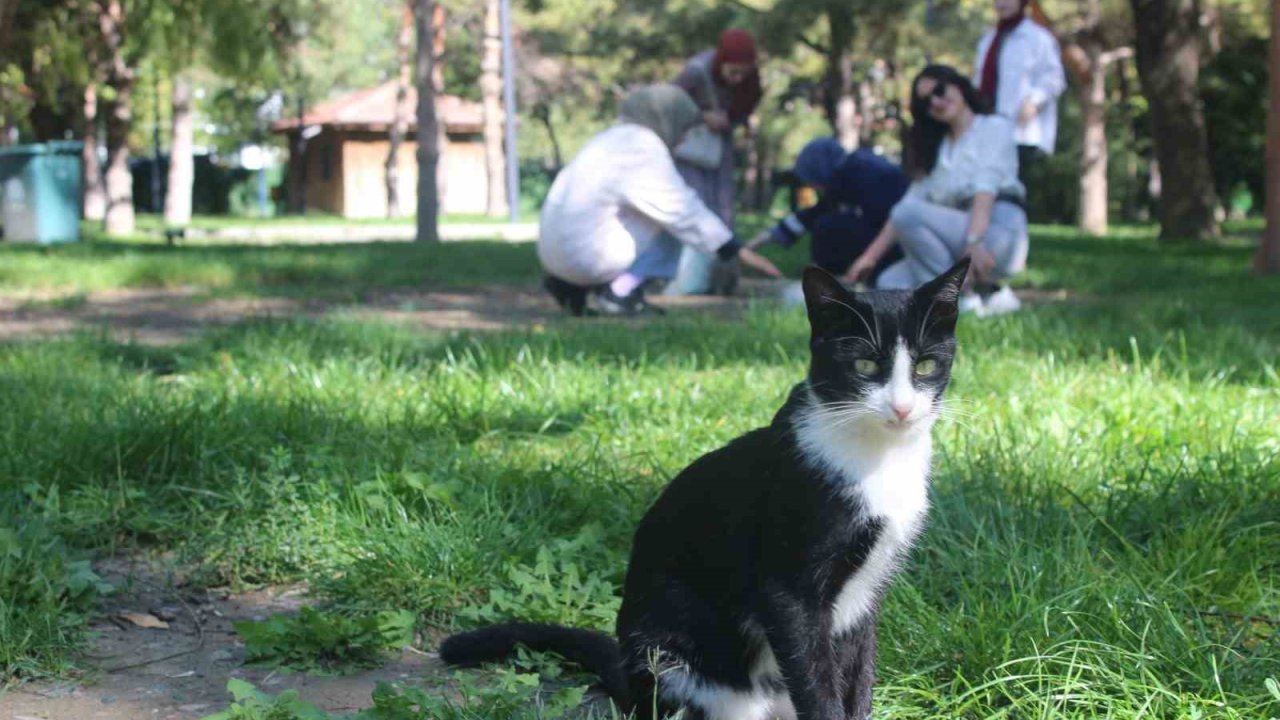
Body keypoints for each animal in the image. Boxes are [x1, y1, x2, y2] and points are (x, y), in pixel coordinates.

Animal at [442, 258, 967, 717]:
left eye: (924, 367)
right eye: (864, 366)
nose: (902, 408)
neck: (879, 459)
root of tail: (628, 677)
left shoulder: (867, 594)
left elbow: (859, 676)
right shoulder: (789, 590)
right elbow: (817, 684)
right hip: (676, 661)